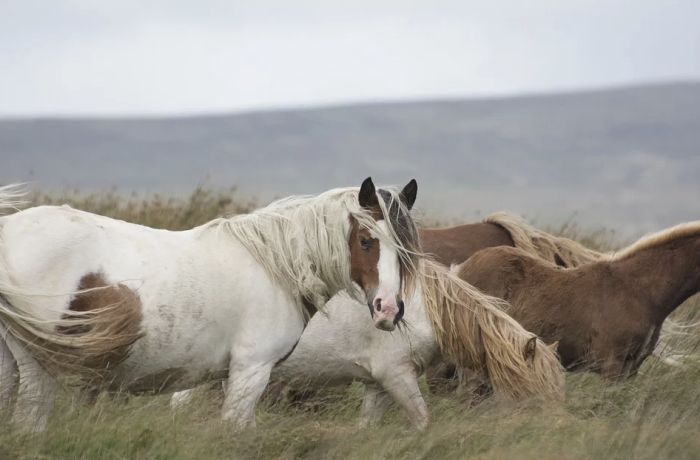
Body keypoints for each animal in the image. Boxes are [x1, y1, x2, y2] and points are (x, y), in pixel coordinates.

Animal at [0, 177, 418, 432]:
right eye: (366, 240)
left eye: (406, 248)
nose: (388, 310)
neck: (274, 265)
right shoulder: (251, 371)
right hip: (39, 366)